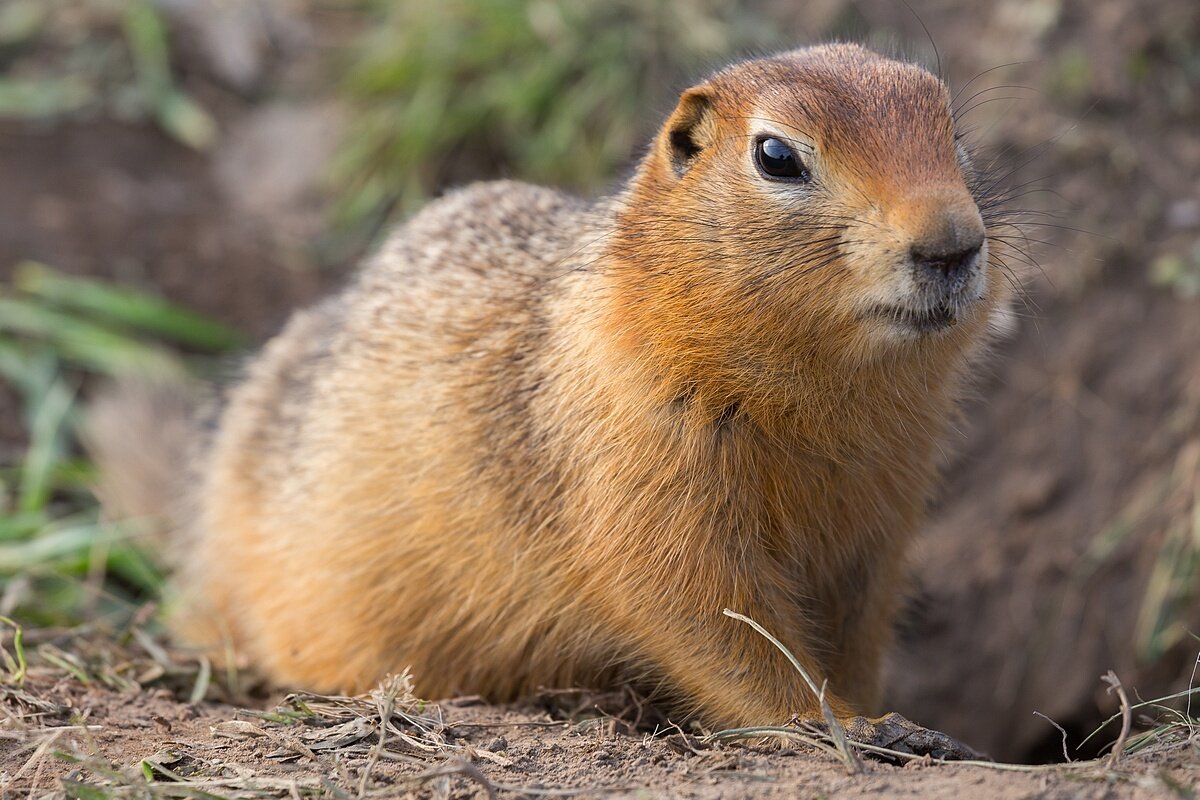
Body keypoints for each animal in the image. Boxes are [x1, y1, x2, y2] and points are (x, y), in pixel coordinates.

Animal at [91, 43, 1012, 753]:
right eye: (776, 156)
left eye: (953, 134)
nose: (952, 245)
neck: (829, 394)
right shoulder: (645, 466)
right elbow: (716, 618)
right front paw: (853, 726)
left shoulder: (882, 515)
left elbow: (853, 628)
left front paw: (882, 712)